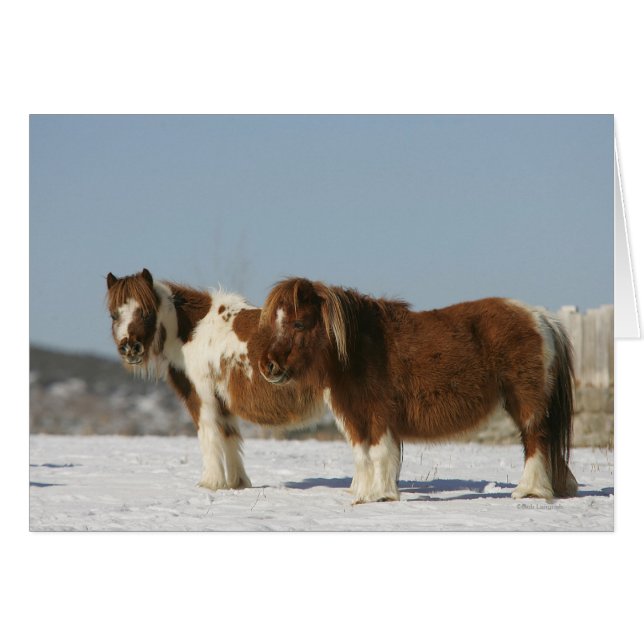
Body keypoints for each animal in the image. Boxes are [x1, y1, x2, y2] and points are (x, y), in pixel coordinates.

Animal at [106, 269, 325, 491]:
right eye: (114, 315)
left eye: (146, 312)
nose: (130, 348)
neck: (193, 332)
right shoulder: (222, 402)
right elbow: (229, 437)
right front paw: (237, 483)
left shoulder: (202, 397)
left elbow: (209, 434)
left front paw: (210, 482)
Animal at [257, 277, 578, 504]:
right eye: (275, 321)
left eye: (299, 323)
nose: (268, 366)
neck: (360, 347)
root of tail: (540, 316)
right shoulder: (354, 416)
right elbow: (362, 455)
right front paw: (363, 495)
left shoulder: (378, 414)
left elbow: (378, 453)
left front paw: (381, 495)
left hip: (526, 403)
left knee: (535, 440)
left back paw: (529, 491)